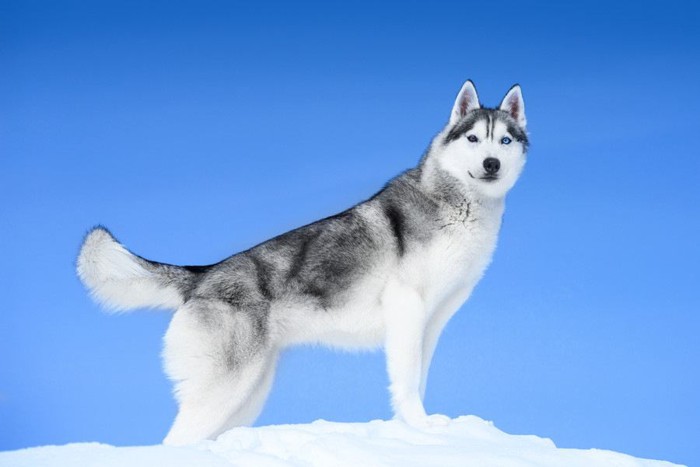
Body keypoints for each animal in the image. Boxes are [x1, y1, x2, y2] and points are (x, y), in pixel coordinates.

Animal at [76, 80, 528, 446]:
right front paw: (420, 427)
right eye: (473, 138)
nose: (491, 164)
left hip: (247, 395)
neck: (458, 207)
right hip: (224, 390)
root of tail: (201, 278)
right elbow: (406, 382)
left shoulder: (429, 323)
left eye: (505, 141)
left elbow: (417, 379)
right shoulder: (406, 309)